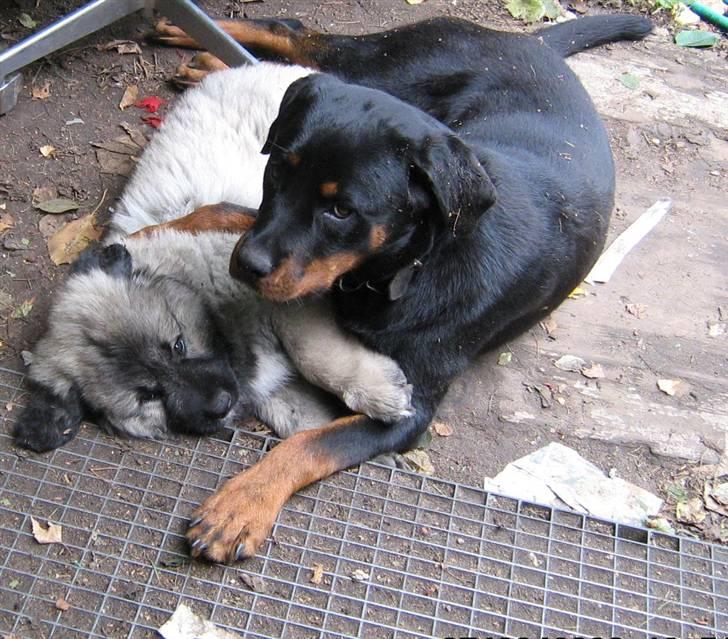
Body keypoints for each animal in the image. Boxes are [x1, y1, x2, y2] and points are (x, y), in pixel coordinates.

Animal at [152, 12, 648, 564]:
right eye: (277, 169)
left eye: (341, 210)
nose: (247, 265)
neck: (413, 261)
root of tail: (528, 42)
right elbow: (223, 210)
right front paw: (148, 233)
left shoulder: (412, 408)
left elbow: (310, 444)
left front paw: (241, 505)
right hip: (391, 67)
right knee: (299, 36)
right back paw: (193, 41)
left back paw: (204, 60)